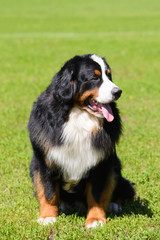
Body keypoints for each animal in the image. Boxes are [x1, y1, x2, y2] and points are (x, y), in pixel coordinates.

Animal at [27, 53, 135, 228]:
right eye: (94, 77)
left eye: (109, 75)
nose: (118, 92)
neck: (79, 116)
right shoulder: (45, 160)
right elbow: (49, 191)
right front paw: (48, 216)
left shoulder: (100, 162)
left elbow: (96, 194)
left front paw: (95, 219)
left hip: (114, 166)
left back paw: (113, 204)